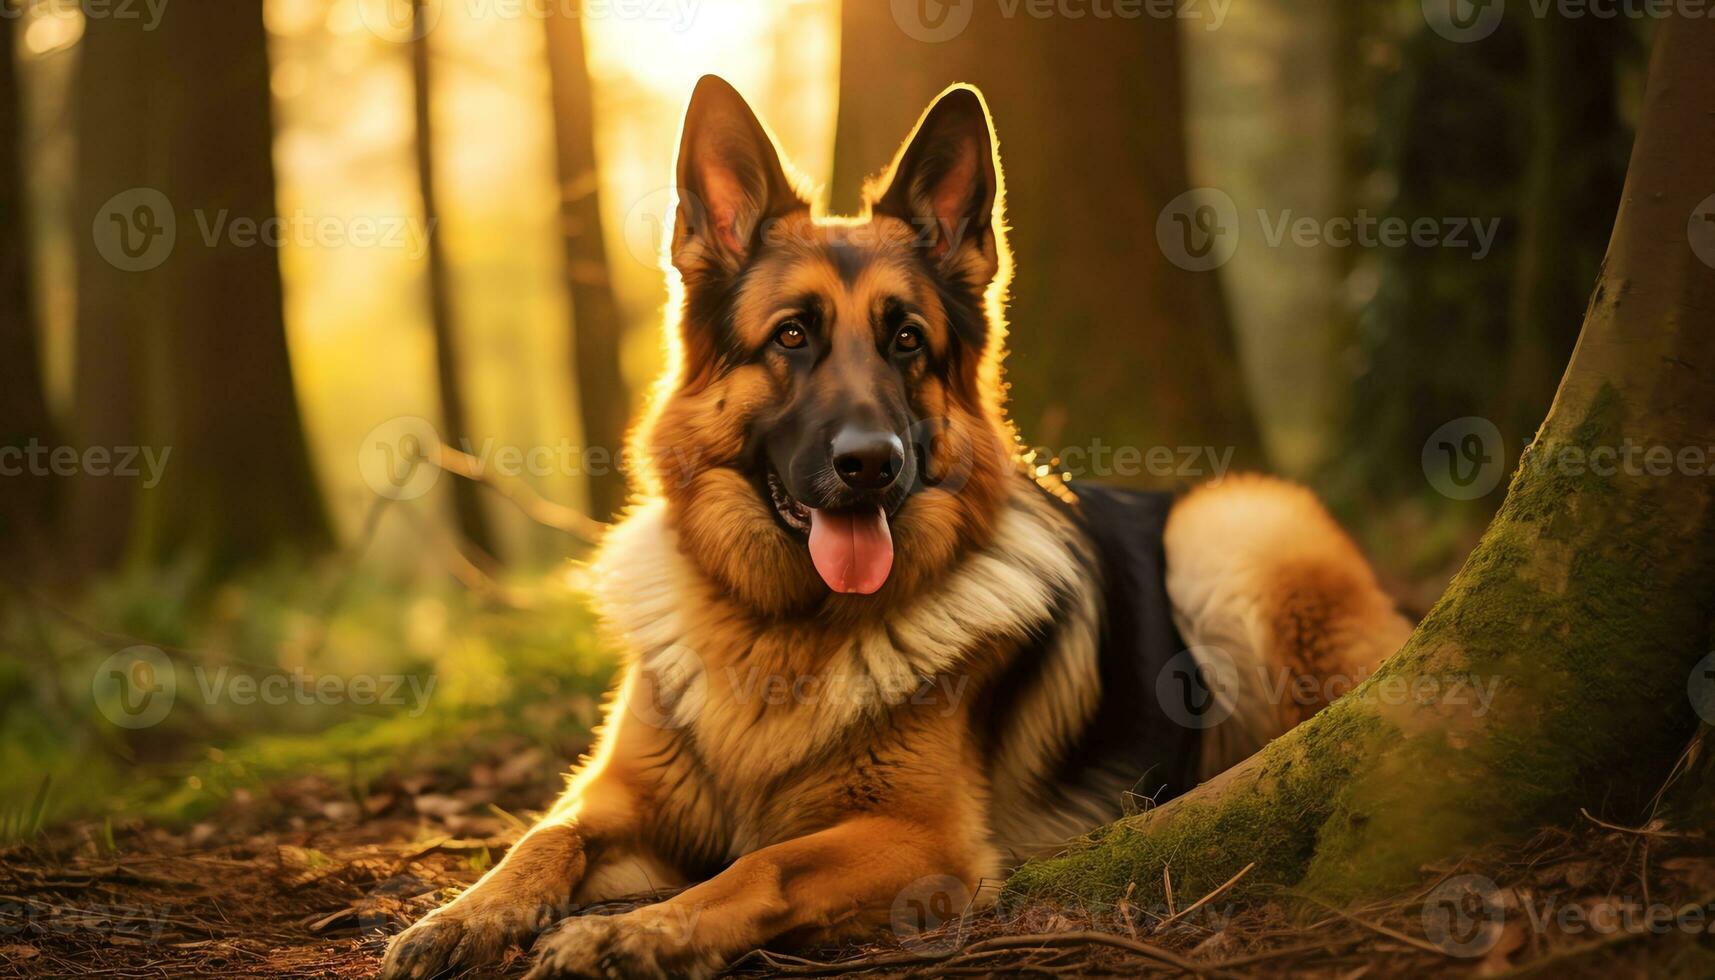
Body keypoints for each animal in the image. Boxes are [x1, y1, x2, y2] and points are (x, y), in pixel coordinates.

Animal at [382, 76, 1413, 980]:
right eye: (791, 336)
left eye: (907, 340)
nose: (869, 463)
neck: (779, 630)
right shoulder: (623, 801)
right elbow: (543, 835)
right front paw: (463, 914)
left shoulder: (920, 839)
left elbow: (760, 861)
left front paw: (636, 933)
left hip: (1230, 525)